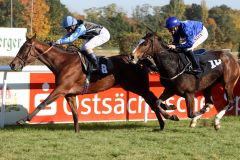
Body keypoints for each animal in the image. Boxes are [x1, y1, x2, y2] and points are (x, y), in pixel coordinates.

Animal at [8, 35, 178, 132]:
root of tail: (139, 60)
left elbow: (43, 103)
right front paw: (77, 132)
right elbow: (75, 114)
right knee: (152, 100)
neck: (63, 62)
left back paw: (169, 115)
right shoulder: (69, 94)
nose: (12, 65)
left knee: (153, 100)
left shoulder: (61, 89)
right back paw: (164, 121)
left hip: (137, 85)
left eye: (24, 48)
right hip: (133, 86)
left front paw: (22, 120)